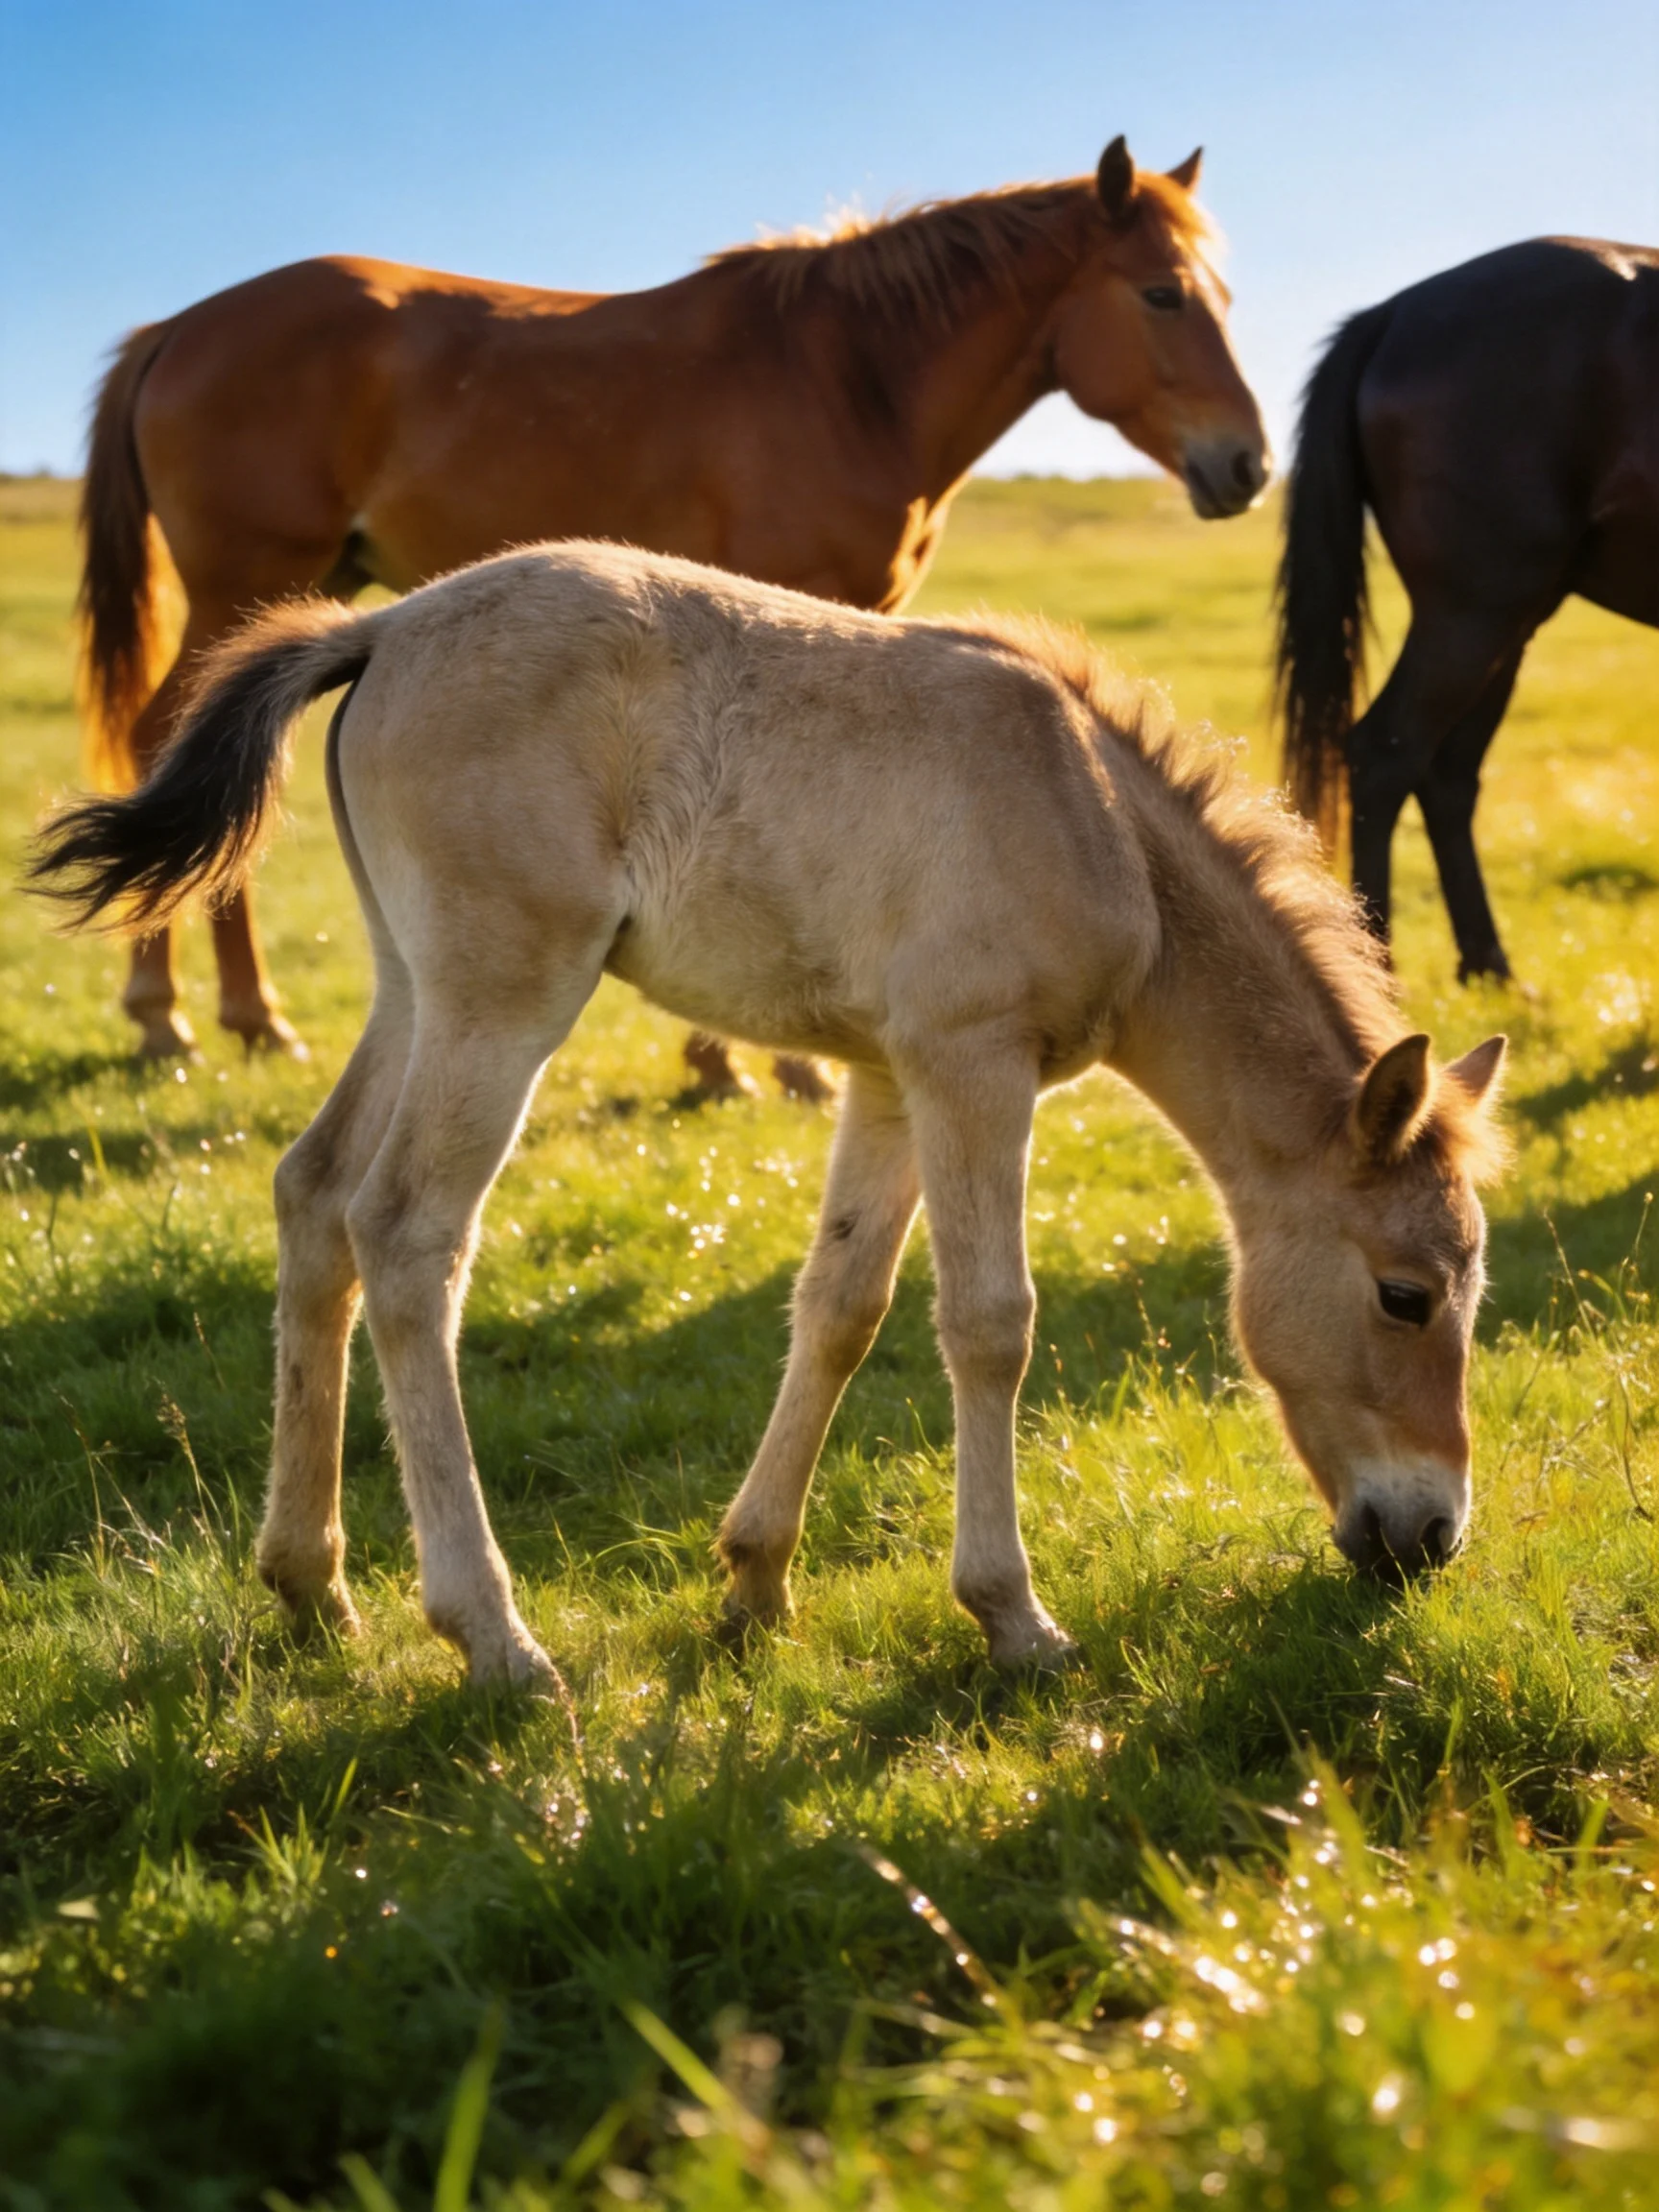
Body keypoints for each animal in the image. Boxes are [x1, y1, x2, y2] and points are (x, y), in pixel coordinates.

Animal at [32, 542, 1505, 1694]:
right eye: (1407, 1296)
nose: (1434, 1537)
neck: (1099, 826)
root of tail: (381, 628)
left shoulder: (889, 1080)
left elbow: (841, 1307)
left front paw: (752, 1583)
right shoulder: (971, 1065)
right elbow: (990, 1326)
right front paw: (1013, 1618)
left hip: (411, 989)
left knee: (312, 1194)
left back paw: (310, 1584)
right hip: (500, 1002)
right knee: (402, 1233)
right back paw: (494, 1637)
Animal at [79, 134, 1268, 1081]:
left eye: (1225, 296)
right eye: (1162, 294)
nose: (1248, 466)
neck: (845, 379)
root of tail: (177, 327)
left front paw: (730, 1061)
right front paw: (759, 1066)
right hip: (247, 587)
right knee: (164, 740)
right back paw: (193, 1017)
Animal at [1276, 236, 1659, 982]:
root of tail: (1392, 313)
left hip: (1507, 626)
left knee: (1447, 774)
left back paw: (1490, 972)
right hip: (1473, 614)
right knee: (1386, 755)